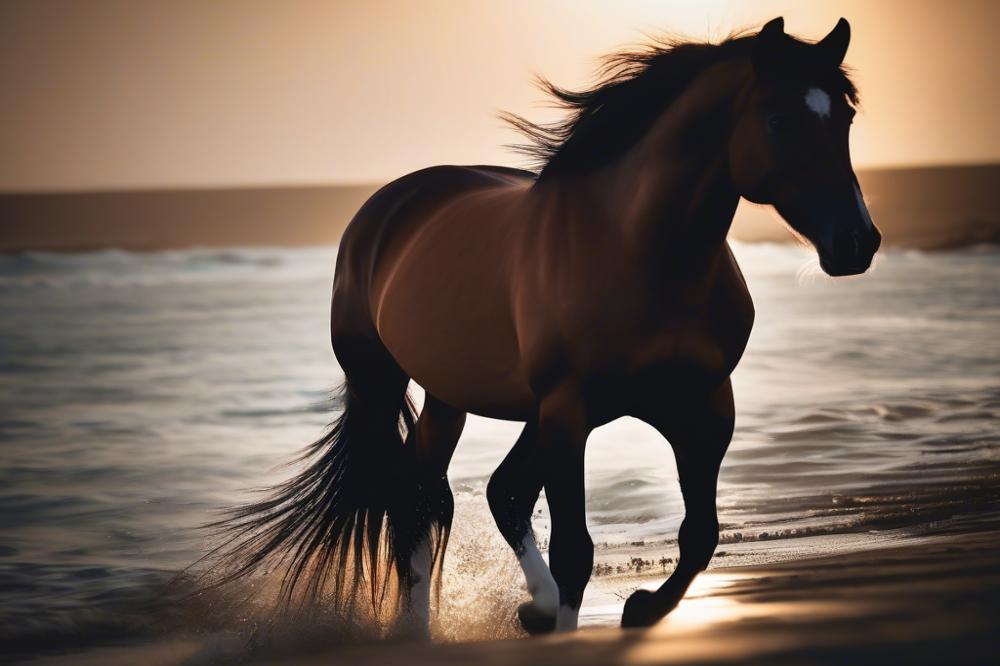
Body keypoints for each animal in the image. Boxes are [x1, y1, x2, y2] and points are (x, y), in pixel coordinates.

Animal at [213, 16, 880, 636]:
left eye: (846, 117)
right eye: (778, 119)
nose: (857, 242)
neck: (637, 252)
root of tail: (386, 208)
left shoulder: (705, 409)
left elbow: (700, 535)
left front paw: (640, 607)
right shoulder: (568, 410)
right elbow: (575, 550)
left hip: (455, 397)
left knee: (466, 491)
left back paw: (516, 612)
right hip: (386, 382)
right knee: (421, 497)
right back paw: (425, 630)